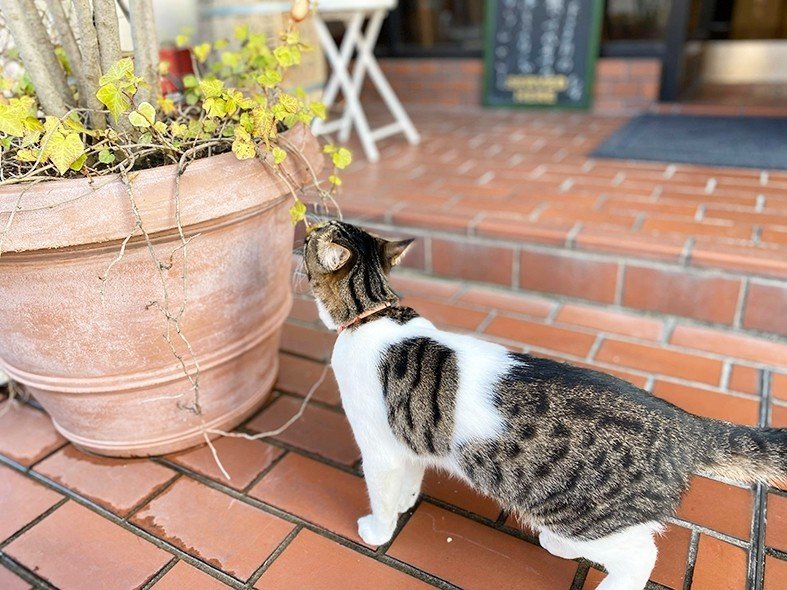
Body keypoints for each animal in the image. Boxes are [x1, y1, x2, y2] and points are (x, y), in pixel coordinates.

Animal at [302, 222, 787, 590]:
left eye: (311, 236)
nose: (304, 224)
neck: (374, 315)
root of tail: (684, 425)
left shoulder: (378, 449)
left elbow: (382, 494)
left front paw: (377, 529)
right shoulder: (408, 440)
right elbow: (410, 477)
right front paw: (407, 499)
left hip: (585, 514)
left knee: (640, 555)